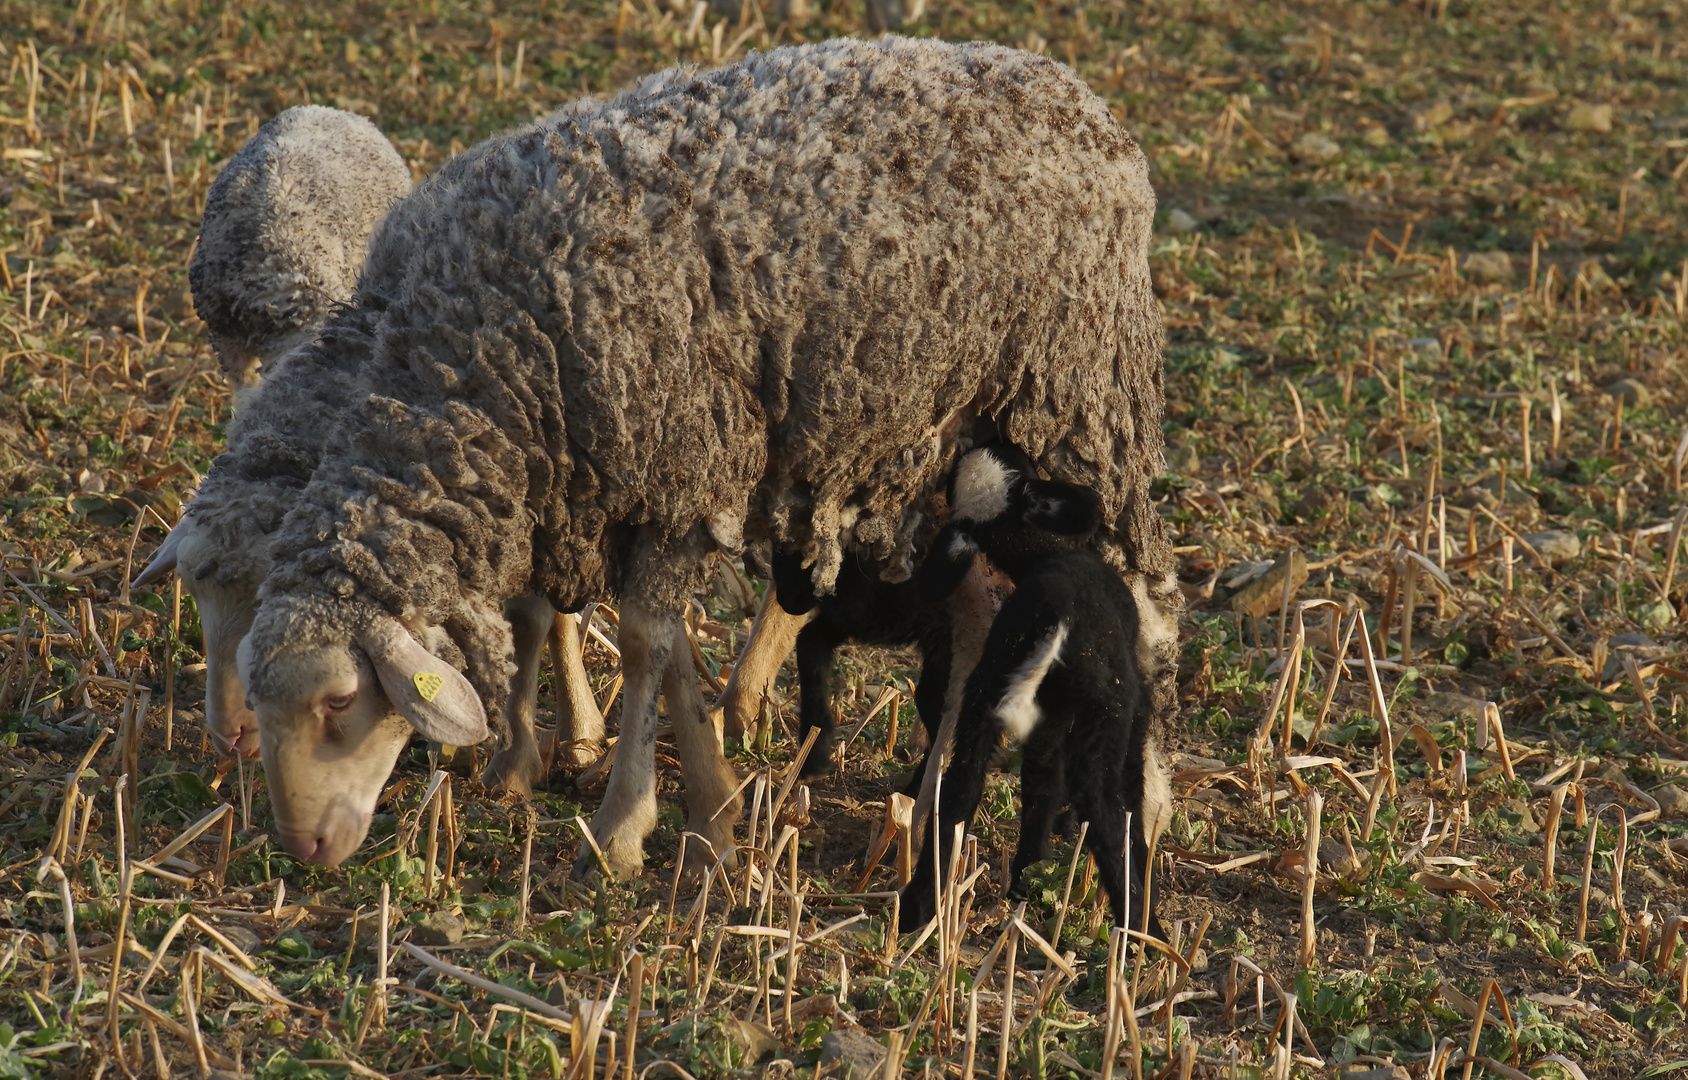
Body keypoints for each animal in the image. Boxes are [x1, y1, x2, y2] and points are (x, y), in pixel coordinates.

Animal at [227, 33, 1174, 877]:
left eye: (340, 701)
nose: (304, 848)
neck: (459, 369)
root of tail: (1071, 92)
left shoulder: (680, 466)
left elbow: (646, 644)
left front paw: (622, 828)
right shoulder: (601, 487)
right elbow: (644, 639)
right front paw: (702, 814)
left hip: (1079, 398)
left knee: (1136, 589)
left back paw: (1148, 801)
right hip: (941, 431)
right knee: (976, 615)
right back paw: (934, 800)